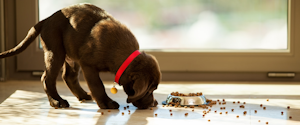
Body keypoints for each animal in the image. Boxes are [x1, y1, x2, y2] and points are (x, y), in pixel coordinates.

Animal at [0, 3, 161, 109]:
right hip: (56, 52)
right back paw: (56, 102)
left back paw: (82, 95)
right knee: (47, 78)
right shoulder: (88, 65)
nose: (154, 104)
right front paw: (106, 103)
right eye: (150, 90)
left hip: (71, 55)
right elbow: (98, 85)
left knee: (68, 76)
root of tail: (46, 19)